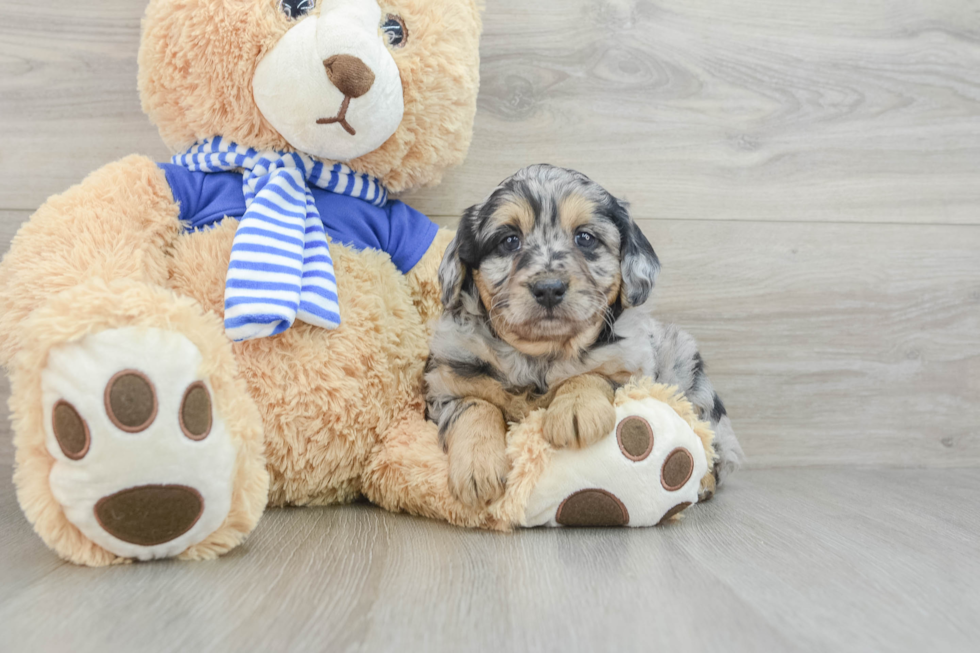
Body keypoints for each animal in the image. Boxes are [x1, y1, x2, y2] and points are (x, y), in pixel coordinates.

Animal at [424, 164, 744, 510]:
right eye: (509, 241)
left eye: (585, 238)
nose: (549, 288)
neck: (541, 356)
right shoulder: (444, 384)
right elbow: (474, 406)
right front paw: (477, 466)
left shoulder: (634, 370)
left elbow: (591, 374)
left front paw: (576, 409)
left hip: (691, 375)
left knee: (712, 447)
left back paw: (703, 482)